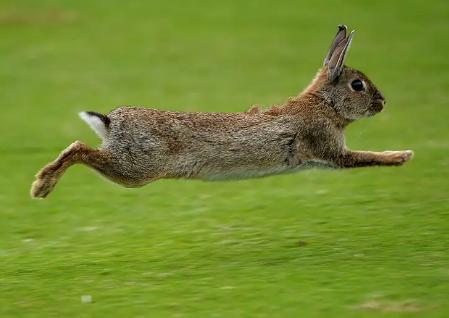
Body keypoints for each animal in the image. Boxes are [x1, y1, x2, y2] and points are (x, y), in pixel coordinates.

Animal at [29, 25, 412, 199]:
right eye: (358, 85)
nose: (382, 103)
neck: (324, 104)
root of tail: (112, 123)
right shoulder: (329, 148)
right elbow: (366, 157)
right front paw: (403, 156)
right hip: (136, 169)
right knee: (81, 149)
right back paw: (42, 186)